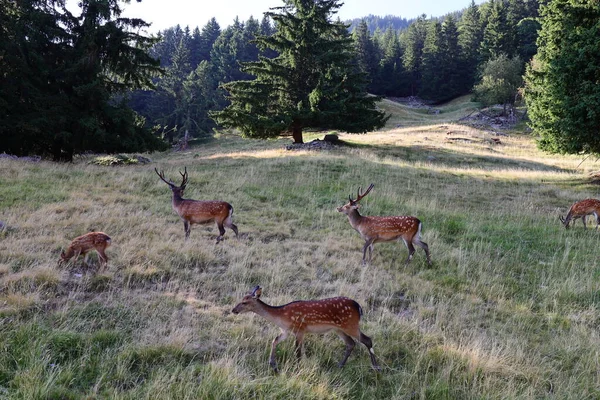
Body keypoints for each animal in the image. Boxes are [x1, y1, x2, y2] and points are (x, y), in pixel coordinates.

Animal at [231, 284, 380, 372]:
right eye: (241, 299)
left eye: (245, 302)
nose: (233, 310)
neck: (281, 317)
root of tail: (359, 307)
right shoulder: (286, 331)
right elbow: (275, 340)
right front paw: (273, 364)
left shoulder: (300, 329)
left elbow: (297, 351)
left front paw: (297, 368)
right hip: (338, 328)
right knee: (351, 343)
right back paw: (340, 365)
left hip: (350, 324)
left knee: (367, 340)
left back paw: (376, 367)